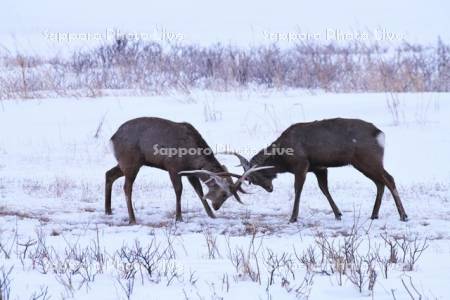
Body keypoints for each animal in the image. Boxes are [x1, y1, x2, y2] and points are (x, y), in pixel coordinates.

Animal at [105, 116, 268, 223]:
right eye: (223, 194)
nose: (216, 207)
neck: (192, 157)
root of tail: (112, 138)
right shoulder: (173, 167)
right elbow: (179, 190)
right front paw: (179, 217)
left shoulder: (191, 173)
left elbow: (199, 191)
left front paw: (211, 215)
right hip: (131, 161)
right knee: (127, 187)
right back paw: (132, 218)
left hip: (128, 163)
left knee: (109, 174)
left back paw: (108, 210)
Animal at [225, 117, 408, 223]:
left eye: (255, 177)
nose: (269, 188)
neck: (283, 159)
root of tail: (380, 134)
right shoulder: (319, 167)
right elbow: (324, 189)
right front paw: (338, 214)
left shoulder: (301, 164)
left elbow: (298, 189)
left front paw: (293, 217)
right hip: (364, 163)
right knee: (380, 182)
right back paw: (374, 214)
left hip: (367, 159)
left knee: (389, 179)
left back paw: (403, 215)